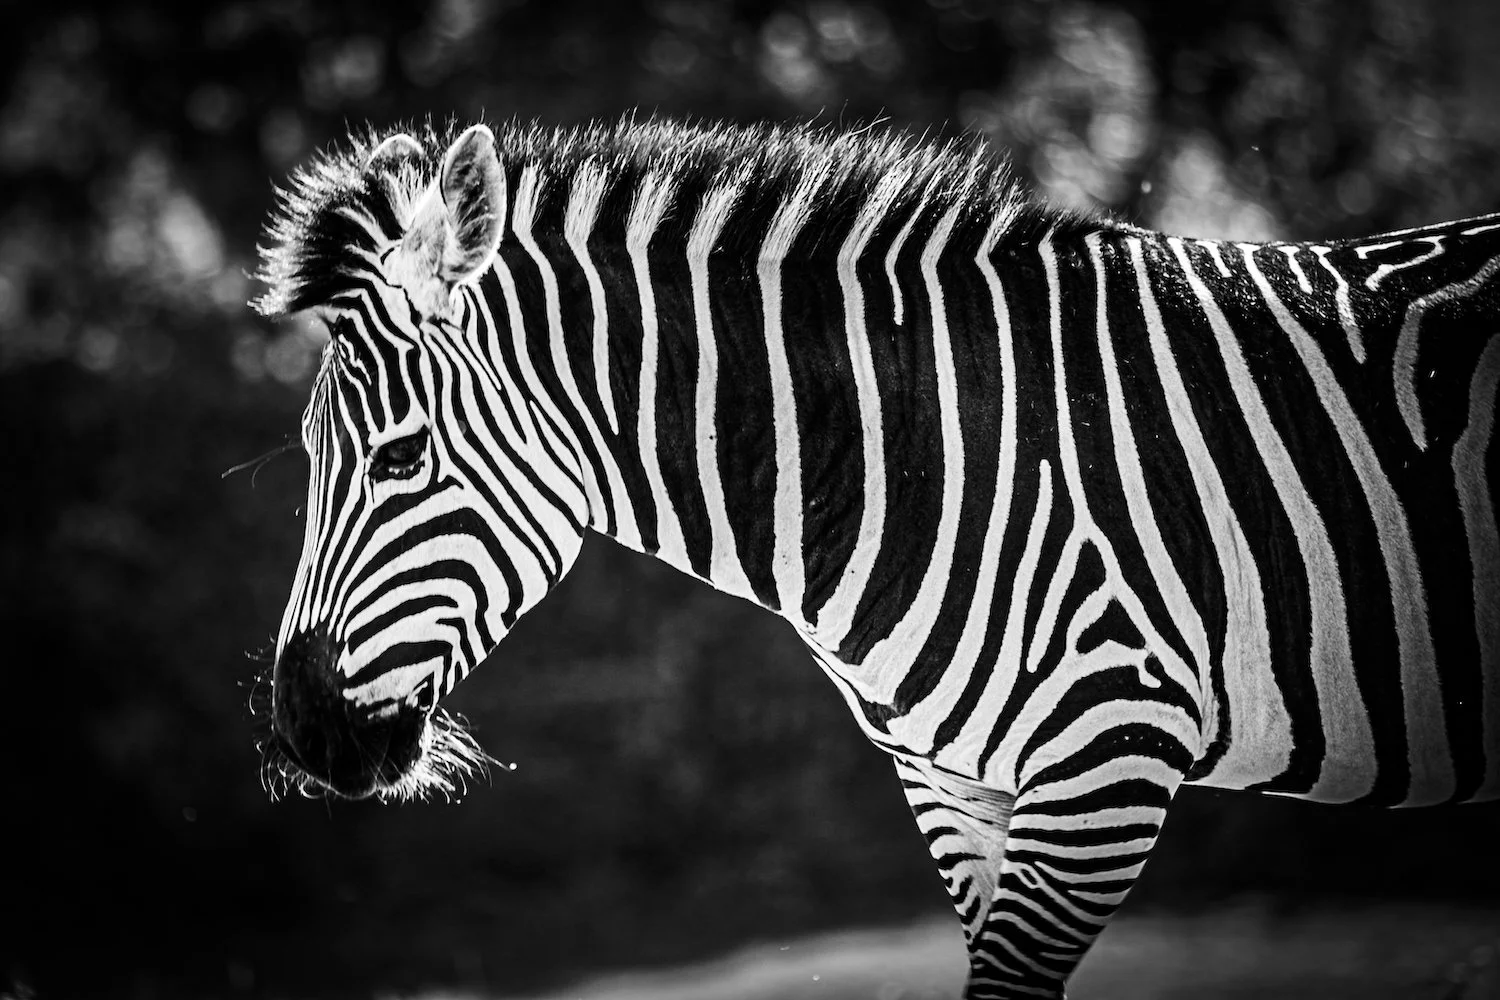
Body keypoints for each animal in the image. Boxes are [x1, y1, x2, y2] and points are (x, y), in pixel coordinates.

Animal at [254, 117, 1500, 999]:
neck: (937, 457)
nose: (304, 732)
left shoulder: (1107, 762)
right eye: (313, 457)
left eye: (401, 456)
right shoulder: (954, 784)